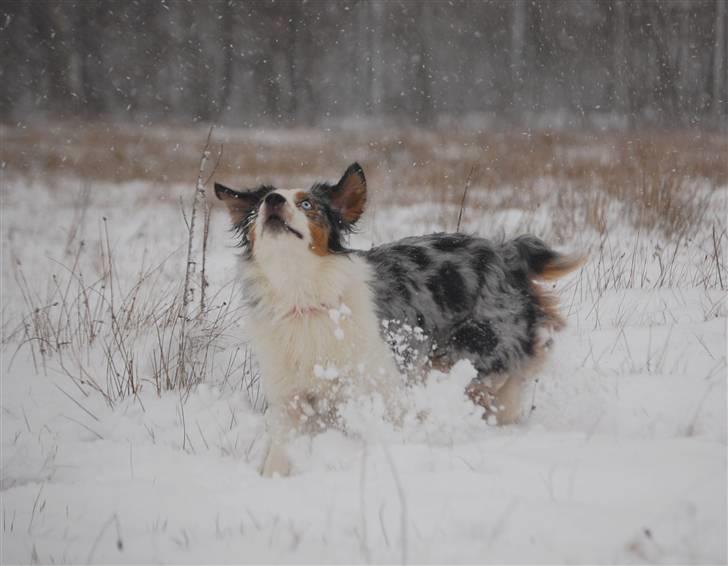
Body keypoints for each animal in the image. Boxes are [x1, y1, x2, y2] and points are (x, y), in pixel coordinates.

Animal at [213, 164, 584, 480]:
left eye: (307, 204)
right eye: (259, 205)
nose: (273, 201)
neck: (303, 295)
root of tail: (505, 253)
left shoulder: (377, 380)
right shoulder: (289, 394)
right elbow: (283, 445)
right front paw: (273, 476)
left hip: (477, 344)